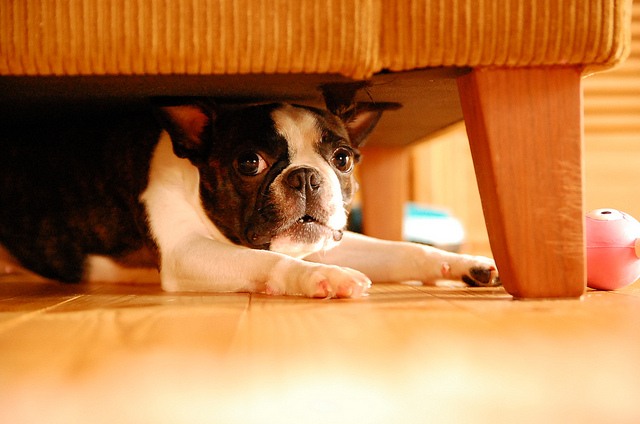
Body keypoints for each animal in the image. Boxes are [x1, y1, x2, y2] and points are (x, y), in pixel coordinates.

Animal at [0, 93, 500, 298]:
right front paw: (325, 278)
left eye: (342, 159)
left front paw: (464, 264)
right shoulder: (186, 253)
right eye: (249, 163)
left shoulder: (329, 241)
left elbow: (404, 249)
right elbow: (267, 261)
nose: (306, 177)